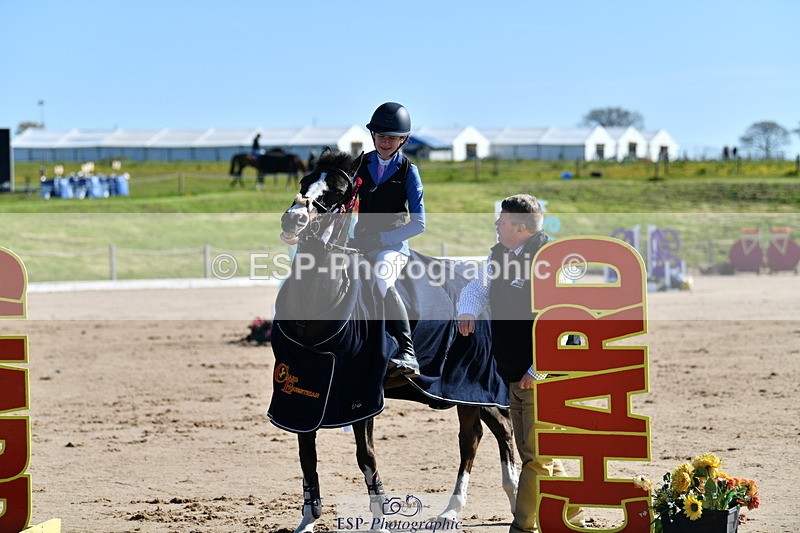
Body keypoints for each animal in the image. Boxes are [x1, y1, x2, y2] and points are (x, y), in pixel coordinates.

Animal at [270, 149, 518, 533]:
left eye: (337, 192)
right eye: (304, 181)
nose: (293, 220)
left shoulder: (362, 392)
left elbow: (366, 456)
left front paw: (379, 519)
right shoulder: (302, 390)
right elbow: (306, 454)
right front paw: (308, 520)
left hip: (473, 383)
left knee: (485, 434)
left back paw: (472, 505)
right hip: (459, 391)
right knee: (483, 433)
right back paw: (479, 504)